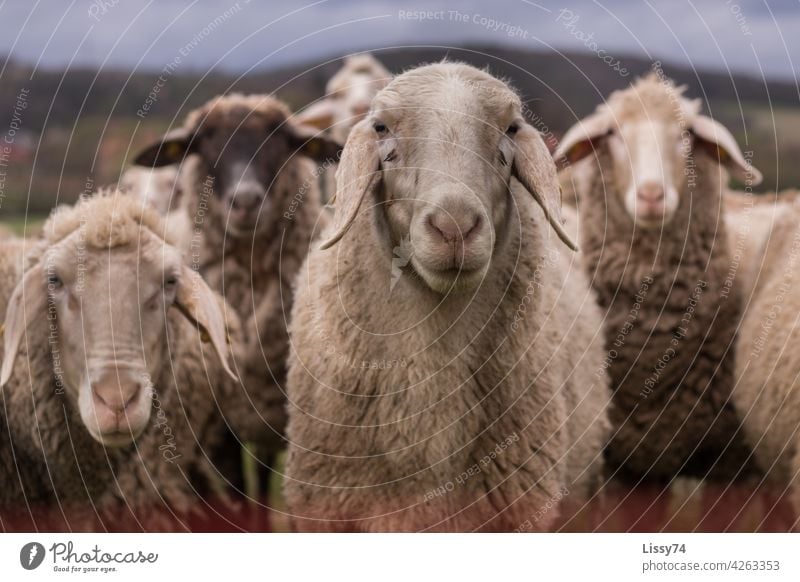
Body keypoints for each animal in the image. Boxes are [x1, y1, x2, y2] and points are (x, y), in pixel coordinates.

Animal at [133, 94, 340, 492]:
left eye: (281, 138)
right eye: (204, 140)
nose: (245, 201)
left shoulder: (278, 415)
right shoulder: (219, 428)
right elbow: (240, 491)